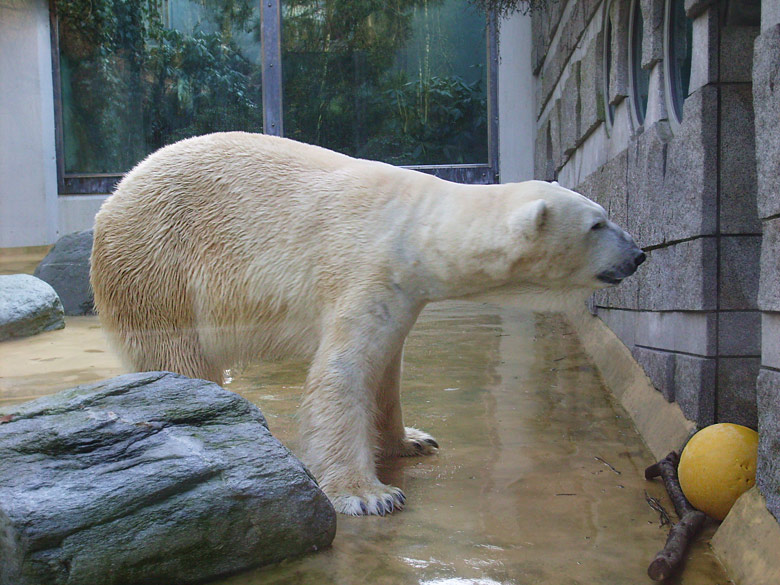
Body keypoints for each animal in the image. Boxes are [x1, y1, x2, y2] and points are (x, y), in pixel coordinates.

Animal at [90, 132, 644, 516]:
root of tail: (111, 199)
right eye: (597, 223)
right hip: (157, 268)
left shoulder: (402, 293)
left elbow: (385, 373)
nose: (639, 254)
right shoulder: (364, 268)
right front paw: (369, 494)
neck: (417, 229)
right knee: (176, 355)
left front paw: (412, 440)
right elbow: (342, 376)